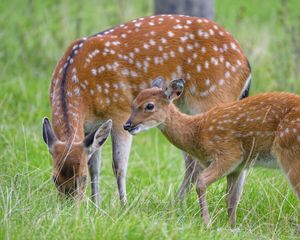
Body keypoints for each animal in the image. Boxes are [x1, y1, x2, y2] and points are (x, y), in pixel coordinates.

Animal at [43, 14, 251, 206]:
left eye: (82, 178)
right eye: (54, 178)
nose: (69, 208)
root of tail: (246, 64)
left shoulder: (119, 110)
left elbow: (118, 166)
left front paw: (123, 206)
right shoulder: (91, 127)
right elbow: (95, 165)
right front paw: (96, 205)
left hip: (213, 98)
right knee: (192, 159)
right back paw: (180, 203)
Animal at [125, 78, 300, 227]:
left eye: (149, 106)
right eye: (133, 103)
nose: (127, 125)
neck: (197, 133)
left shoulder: (229, 153)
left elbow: (201, 182)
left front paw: (207, 224)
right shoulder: (238, 167)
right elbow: (231, 199)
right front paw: (232, 228)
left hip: (289, 151)